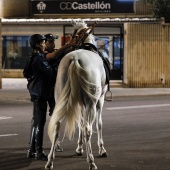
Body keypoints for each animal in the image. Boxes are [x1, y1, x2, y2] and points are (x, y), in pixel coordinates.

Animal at [44, 20, 107, 170]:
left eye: (72, 34)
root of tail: (75, 59)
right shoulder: (99, 100)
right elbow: (98, 124)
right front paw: (102, 149)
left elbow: (81, 122)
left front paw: (79, 148)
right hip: (91, 102)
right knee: (88, 128)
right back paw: (91, 162)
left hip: (61, 99)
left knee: (57, 126)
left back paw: (50, 161)